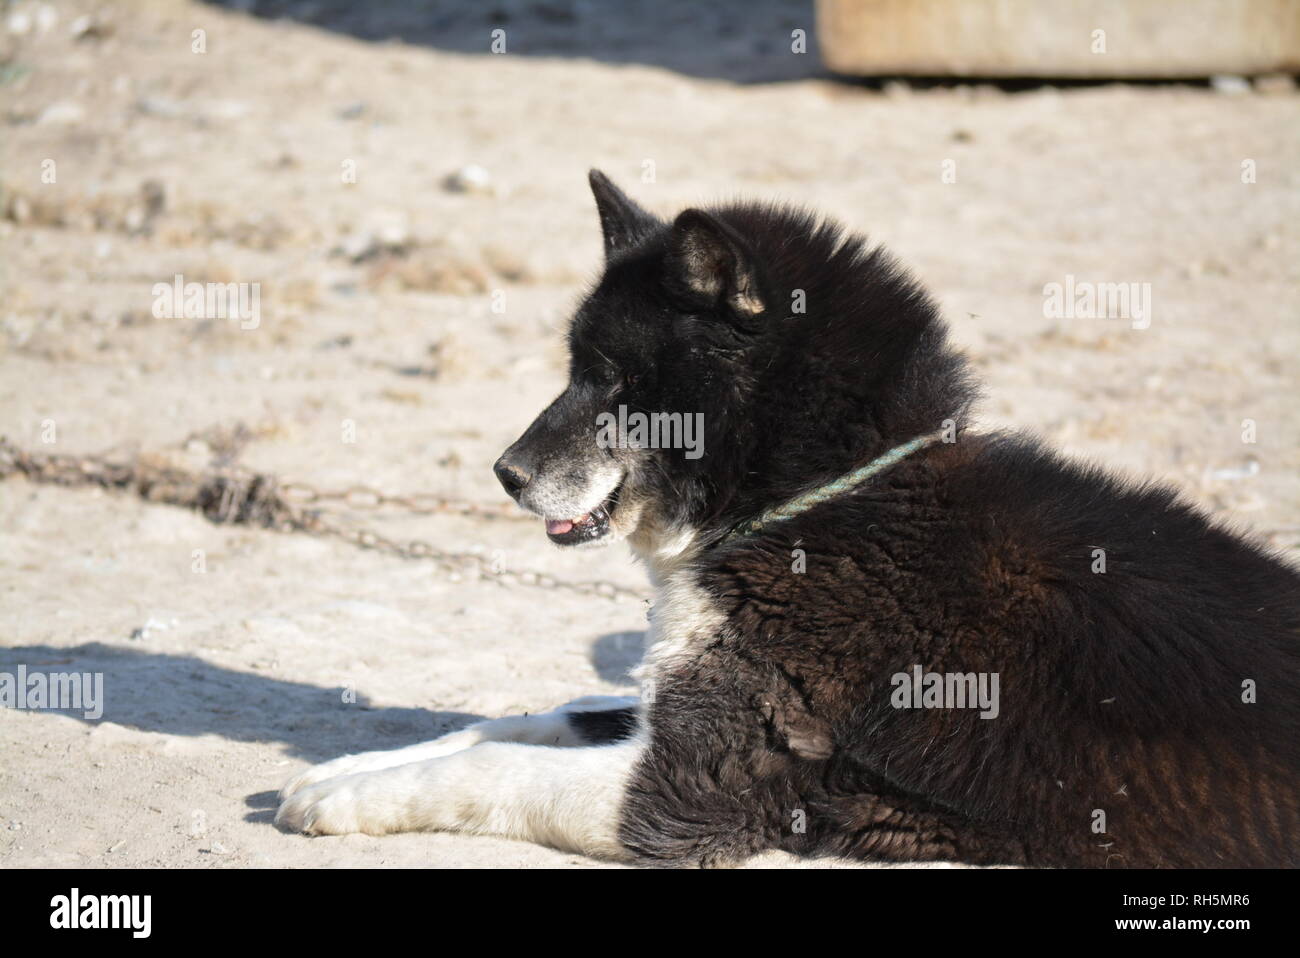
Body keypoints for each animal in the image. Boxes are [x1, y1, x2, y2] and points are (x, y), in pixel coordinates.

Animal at [282, 171, 1300, 868]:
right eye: (576, 368)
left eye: (614, 380)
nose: (505, 474)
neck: (828, 501)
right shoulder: (670, 715)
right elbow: (528, 719)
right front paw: (346, 770)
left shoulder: (688, 792)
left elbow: (495, 768)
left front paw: (356, 798)